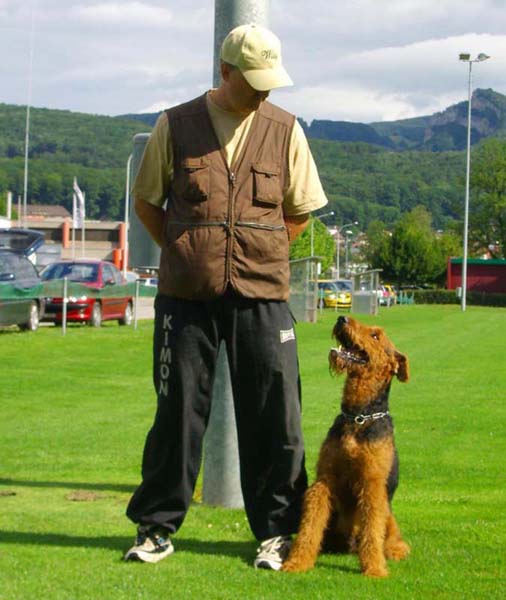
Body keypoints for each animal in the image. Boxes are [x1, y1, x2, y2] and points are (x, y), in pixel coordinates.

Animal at [284, 314, 412, 576]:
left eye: (376, 335)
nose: (342, 318)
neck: (359, 416)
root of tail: (350, 547)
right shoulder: (325, 479)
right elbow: (309, 526)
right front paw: (297, 561)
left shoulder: (372, 483)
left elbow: (372, 529)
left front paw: (374, 569)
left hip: (389, 515)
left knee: (393, 539)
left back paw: (393, 551)